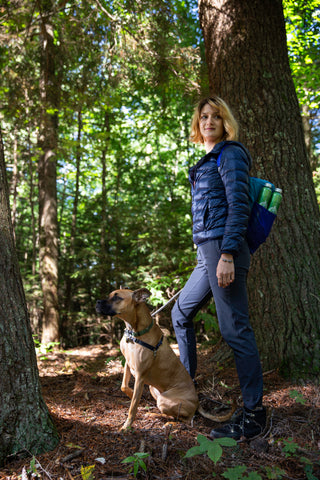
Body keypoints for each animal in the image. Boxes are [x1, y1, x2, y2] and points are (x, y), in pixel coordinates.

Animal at [96, 288, 234, 432]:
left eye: (117, 298)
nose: (97, 302)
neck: (134, 332)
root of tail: (197, 402)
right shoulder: (128, 364)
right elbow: (124, 386)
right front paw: (131, 394)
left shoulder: (140, 376)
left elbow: (133, 406)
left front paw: (127, 426)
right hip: (153, 389)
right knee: (170, 414)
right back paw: (154, 414)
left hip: (164, 399)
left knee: (186, 420)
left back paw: (171, 424)